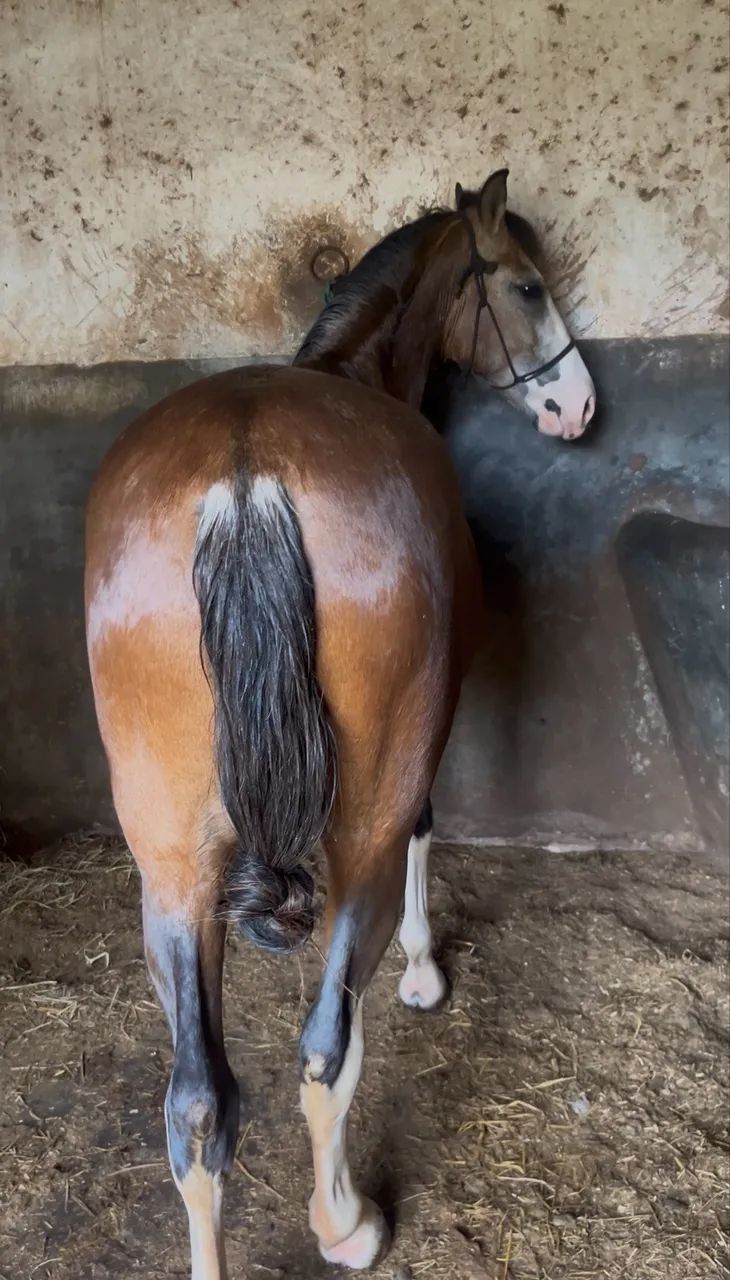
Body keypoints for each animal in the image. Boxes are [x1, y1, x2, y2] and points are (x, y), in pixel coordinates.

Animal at [84, 169, 595, 1278]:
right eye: (527, 286)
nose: (577, 406)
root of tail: (245, 475)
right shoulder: (419, 751)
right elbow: (429, 827)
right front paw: (423, 970)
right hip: (356, 827)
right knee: (325, 1050)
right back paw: (346, 1223)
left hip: (171, 871)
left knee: (197, 1102)